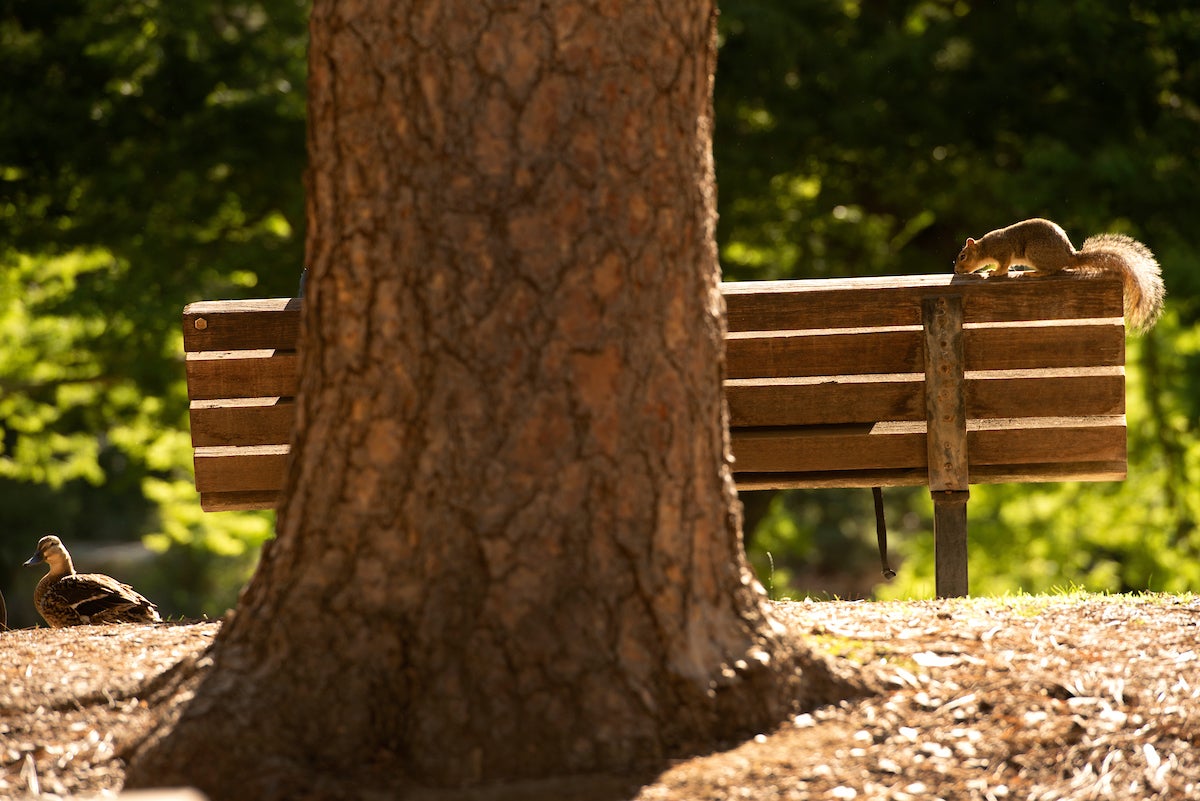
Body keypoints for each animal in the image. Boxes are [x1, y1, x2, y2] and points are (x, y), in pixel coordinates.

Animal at [953, 218, 1165, 332]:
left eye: (962, 256)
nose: (956, 271)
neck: (984, 247)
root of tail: (1069, 256)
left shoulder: (1003, 251)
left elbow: (1004, 267)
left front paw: (994, 272)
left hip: (1034, 251)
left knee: (1051, 270)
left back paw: (1034, 273)